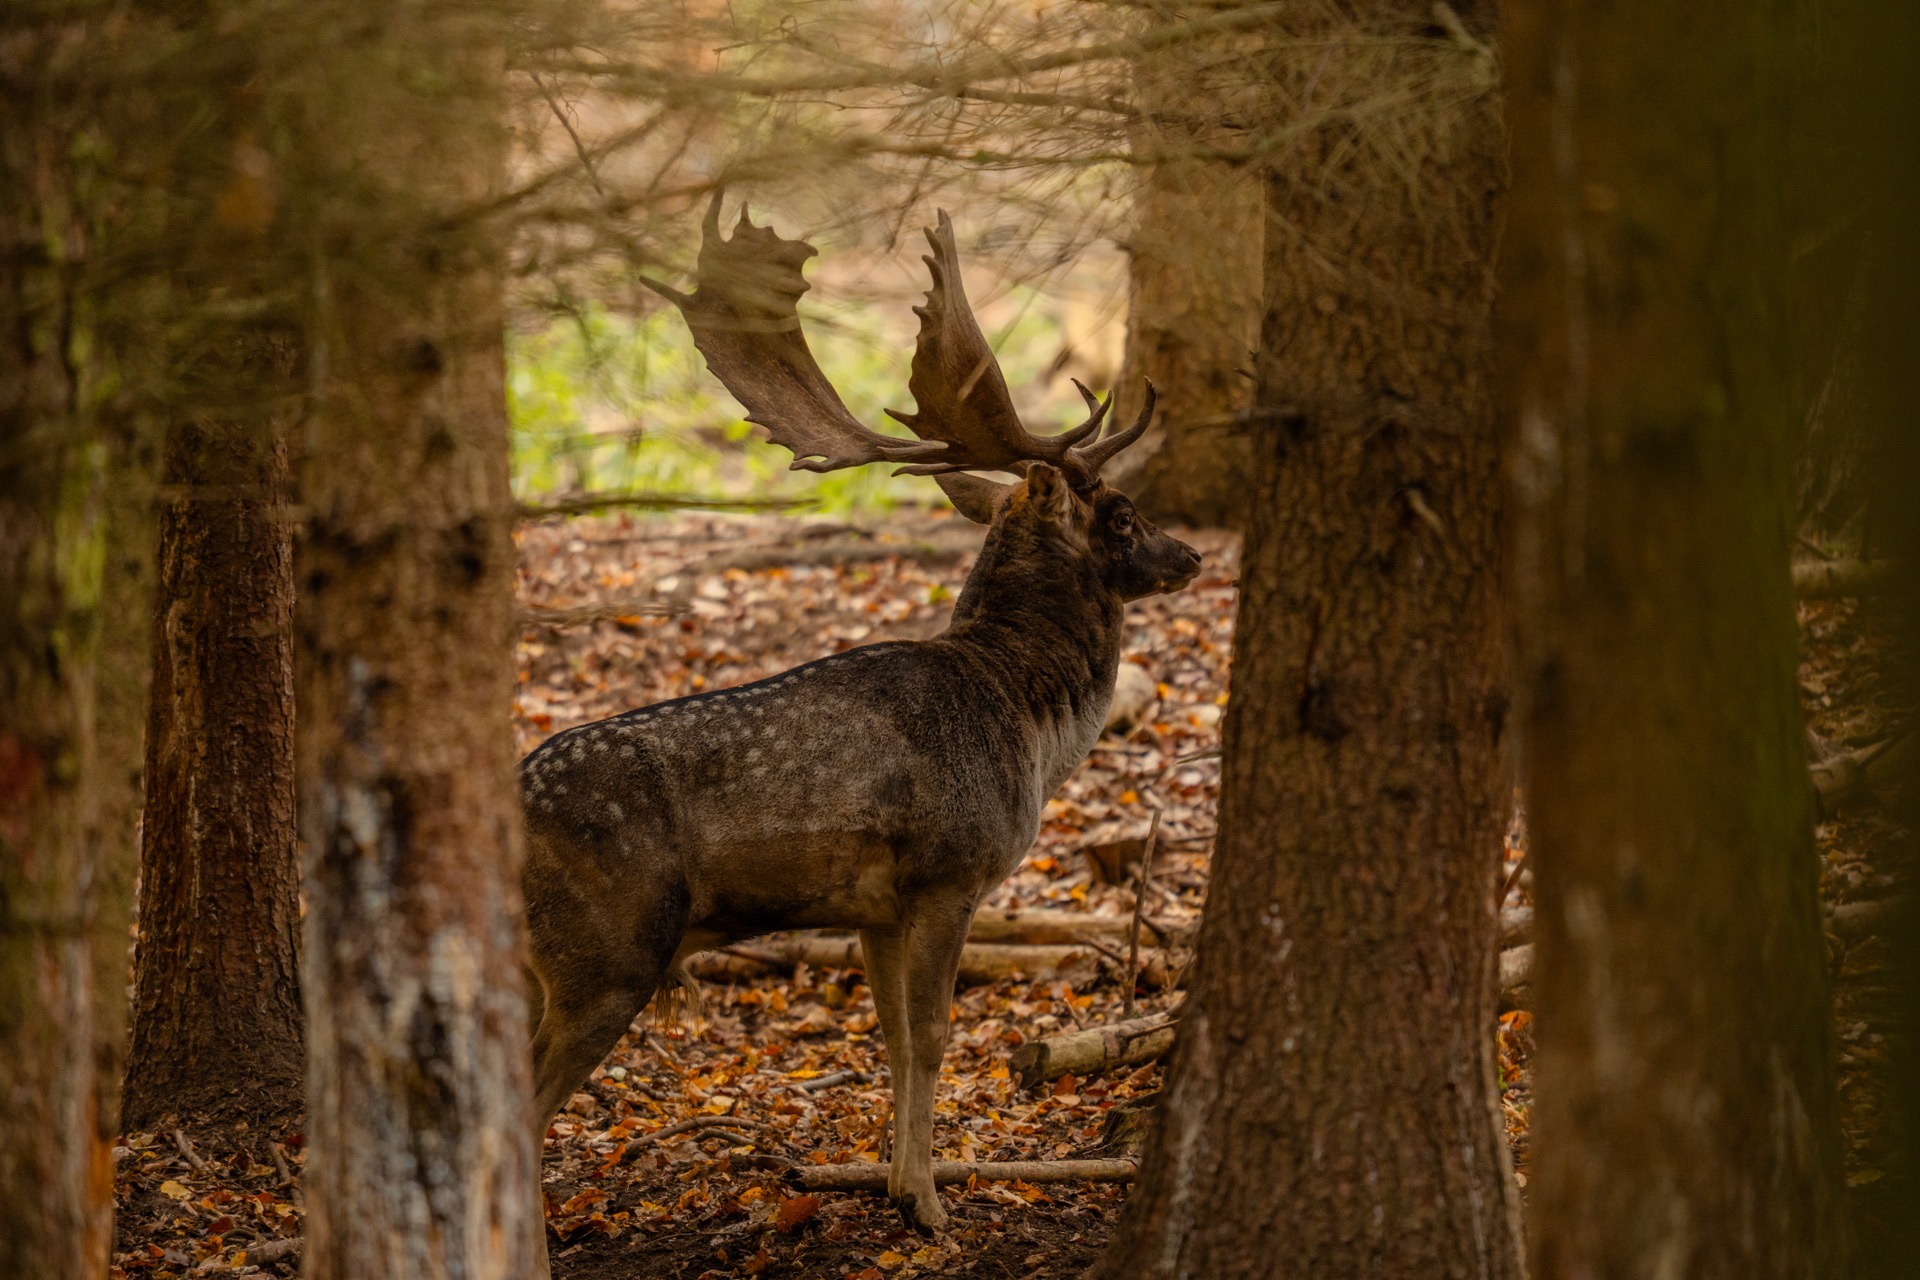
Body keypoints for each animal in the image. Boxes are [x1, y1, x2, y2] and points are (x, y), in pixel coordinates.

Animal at [519, 193, 1201, 1235]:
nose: (1191, 556)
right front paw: (927, 1203)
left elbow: (889, 1037)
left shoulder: (875, 908)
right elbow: (932, 1035)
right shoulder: (950, 872)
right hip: (605, 952)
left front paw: (892, 1182)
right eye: (1121, 514)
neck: (1026, 718)